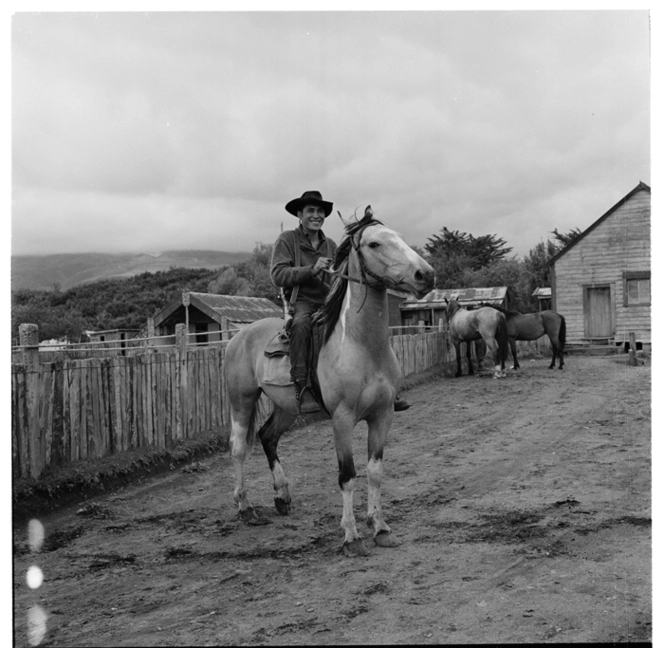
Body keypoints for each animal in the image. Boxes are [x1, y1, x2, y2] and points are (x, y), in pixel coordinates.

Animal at [223, 208, 436, 556]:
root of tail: (238, 336)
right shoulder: (342, 419)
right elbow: (347, 475)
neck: (362, 346)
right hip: (242, 400)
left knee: (268, 436)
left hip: (286, 406)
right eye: (374, 243)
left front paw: (380, 527)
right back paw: (246, 508)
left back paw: (282, 496)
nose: (425, 275)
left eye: (402, 238)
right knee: (239, 447)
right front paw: (351, 535)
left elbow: (374, 472)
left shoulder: (383, 416)